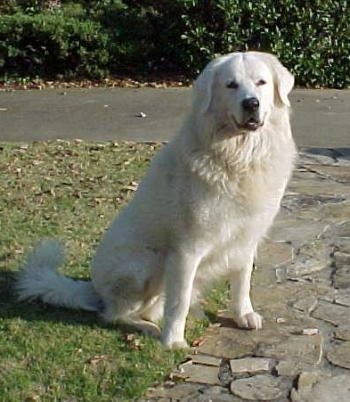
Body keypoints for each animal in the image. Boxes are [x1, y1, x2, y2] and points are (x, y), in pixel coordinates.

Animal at [15, 51, 296, 348]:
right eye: (231, 85)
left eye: (261, 82)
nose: (251, 104)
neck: (240, 155)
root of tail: (94, 289)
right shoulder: (186, 250)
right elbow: (178, 301)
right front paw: (173, 342)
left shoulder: (245, 239)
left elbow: (242, 282)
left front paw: (243, 315)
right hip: (147, 264)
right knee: (114, 314)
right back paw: (148, 327)